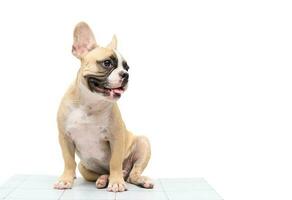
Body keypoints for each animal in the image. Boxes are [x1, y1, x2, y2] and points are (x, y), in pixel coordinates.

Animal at [53, 21, 153, 192]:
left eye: (127, 68)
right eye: (107, 63)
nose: (126, 75)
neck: (90, 103)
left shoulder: (116, 138)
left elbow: (115, 162)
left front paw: (117, 182)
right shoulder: (64, 137)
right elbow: (68, 161)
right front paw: (66, 180)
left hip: (143, 143)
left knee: (133, 173)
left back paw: (137, 179)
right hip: (83, 167)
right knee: (96, 172)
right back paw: (103, 179)